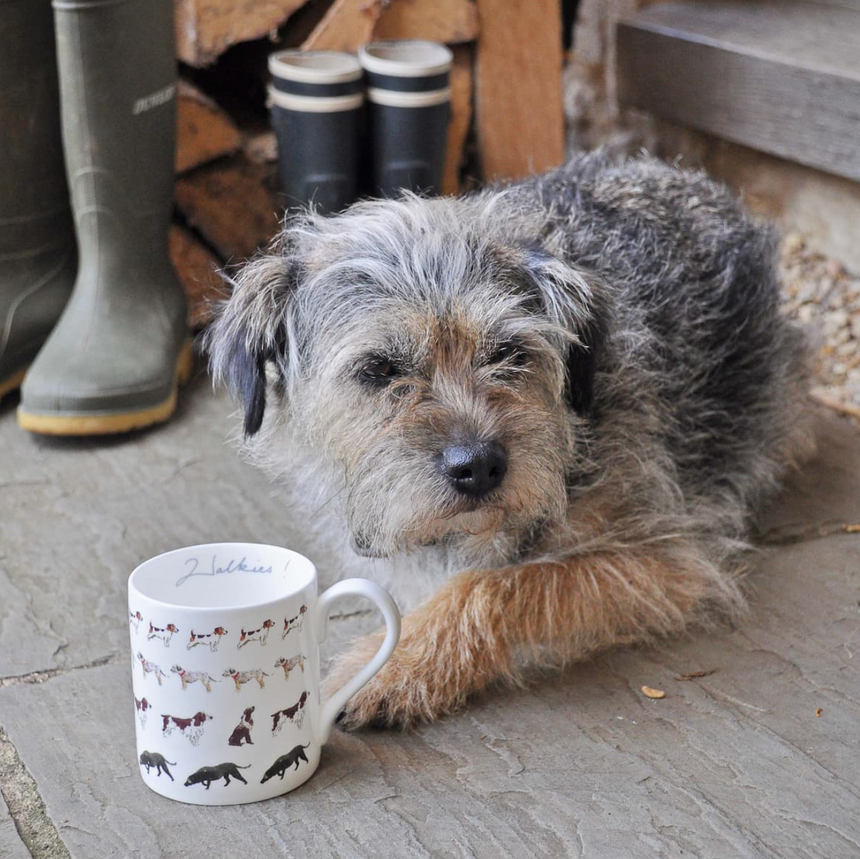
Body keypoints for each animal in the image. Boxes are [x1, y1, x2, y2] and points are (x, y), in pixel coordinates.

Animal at [208, 153, 812, 724]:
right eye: (379, 369)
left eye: (510, 354)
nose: (479, 465)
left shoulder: (666, 558)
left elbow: (496, 585)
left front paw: (395, 665)